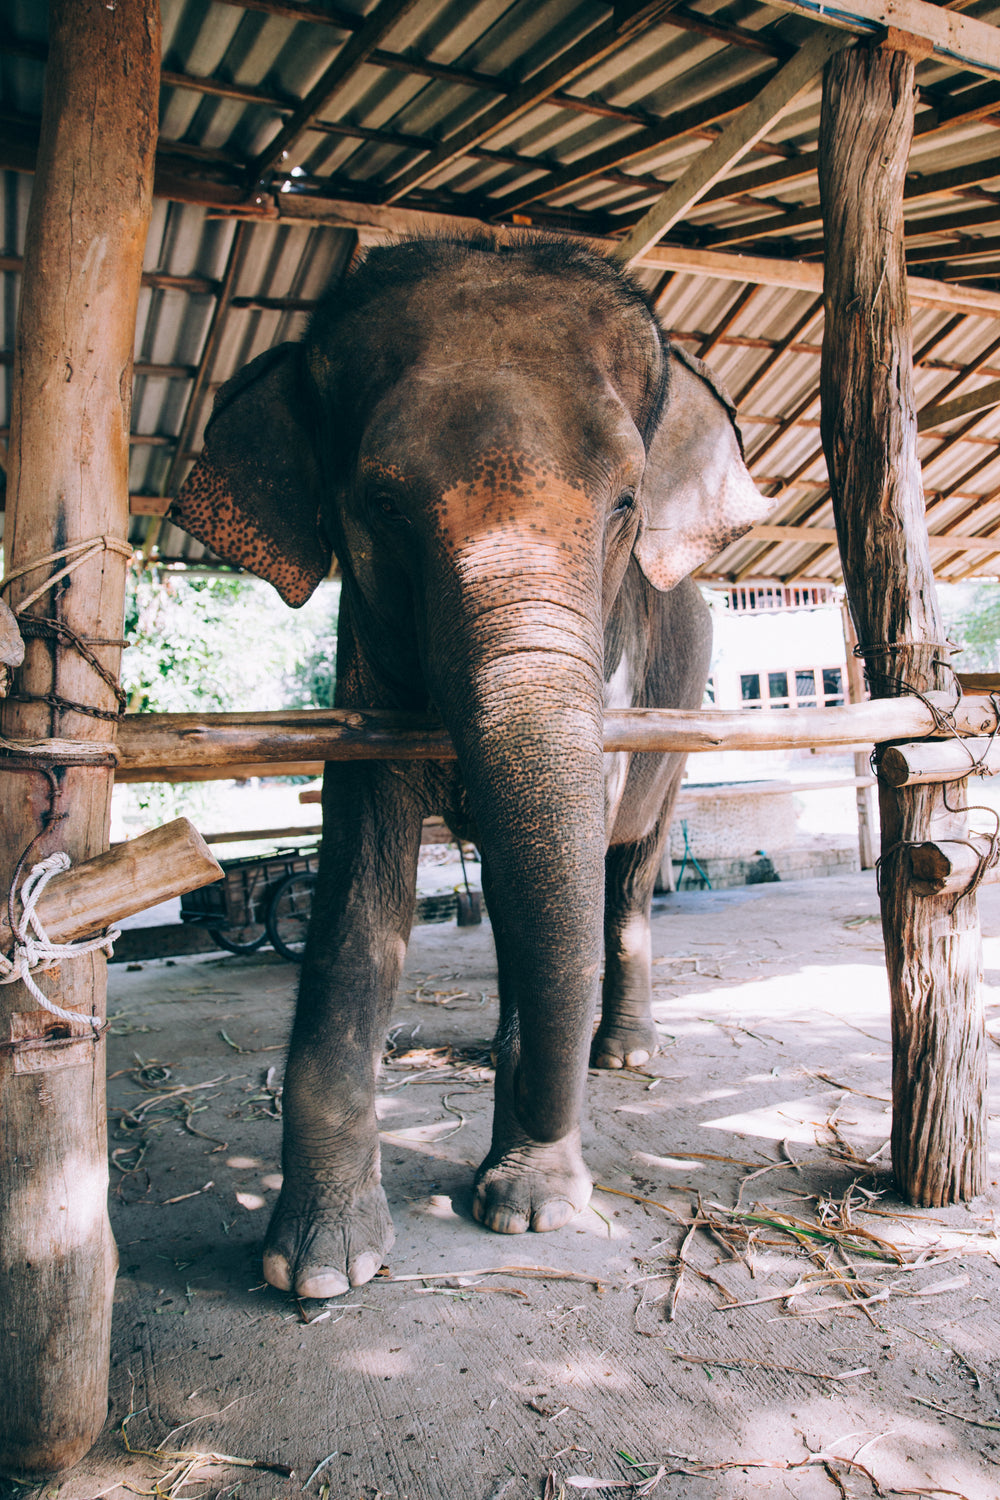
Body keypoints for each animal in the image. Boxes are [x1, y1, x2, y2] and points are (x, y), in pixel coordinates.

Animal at [172, 228, 773, 1296]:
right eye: (378, 503)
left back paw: (620, 1055)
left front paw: (531, 1208)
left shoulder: (618, 687)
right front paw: (317, 1267)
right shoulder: (359, 683)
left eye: (626, 502)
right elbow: (357, 881)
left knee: (626, 872)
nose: (543, 1143)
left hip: (683, 716)